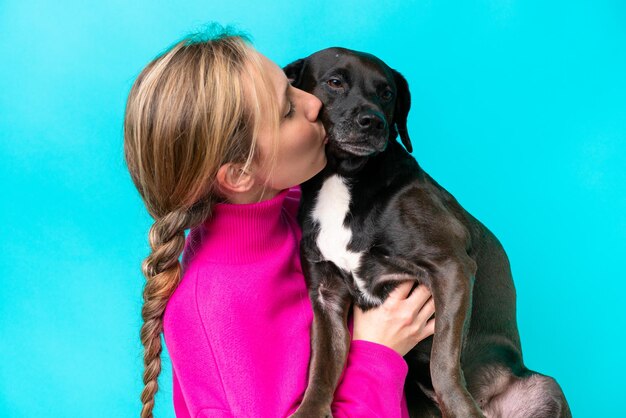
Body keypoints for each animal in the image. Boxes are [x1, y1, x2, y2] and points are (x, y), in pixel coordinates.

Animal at [282, 49, 572, 418]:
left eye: (387, 93)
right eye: (334, 82)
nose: (374, 121)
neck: (343, 180)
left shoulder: (451, 268)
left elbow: (442, 361)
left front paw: (460, 408)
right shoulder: (326, 295)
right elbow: (320, 370)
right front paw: (310, 409)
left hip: (545, 388)